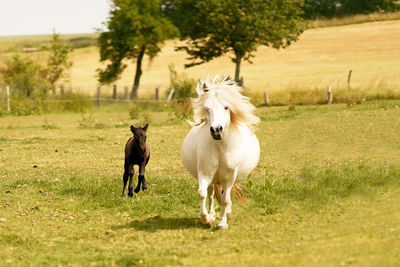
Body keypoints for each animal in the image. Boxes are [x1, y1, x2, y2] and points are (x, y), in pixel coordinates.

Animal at [180, 75, 260, 230]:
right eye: (207, 108)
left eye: (226, 107)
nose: (216, 130)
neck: (220, 147)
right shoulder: (205, 173)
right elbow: (202, 194)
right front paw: (207, 219)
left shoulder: (230, 176)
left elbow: (225, 199)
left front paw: (222, 223)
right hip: (213, 179)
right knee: (211, 193)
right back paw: (212, 214)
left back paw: (227, 214)